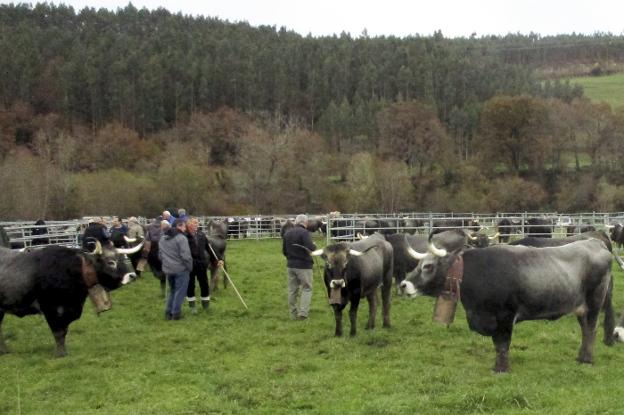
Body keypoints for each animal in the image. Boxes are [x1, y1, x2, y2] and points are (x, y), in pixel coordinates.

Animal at [0, 240, 143, 358]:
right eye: (110, 262)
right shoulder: (51, 309)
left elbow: (64, 332)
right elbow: (58, 332)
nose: (132, 275)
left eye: (122, 259)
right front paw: (60, 354)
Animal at [402, 231, 612, 374]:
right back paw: (581, 357)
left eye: (428, 266)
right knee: (585, 329)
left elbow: (502, 344)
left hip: (594, 303)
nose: (404, 285)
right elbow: (498, 345)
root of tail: (595, 243)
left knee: (591, 329)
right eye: (418, 264)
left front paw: (502, 369)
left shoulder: (505, 317)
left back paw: (587, 359)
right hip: (581, 308)